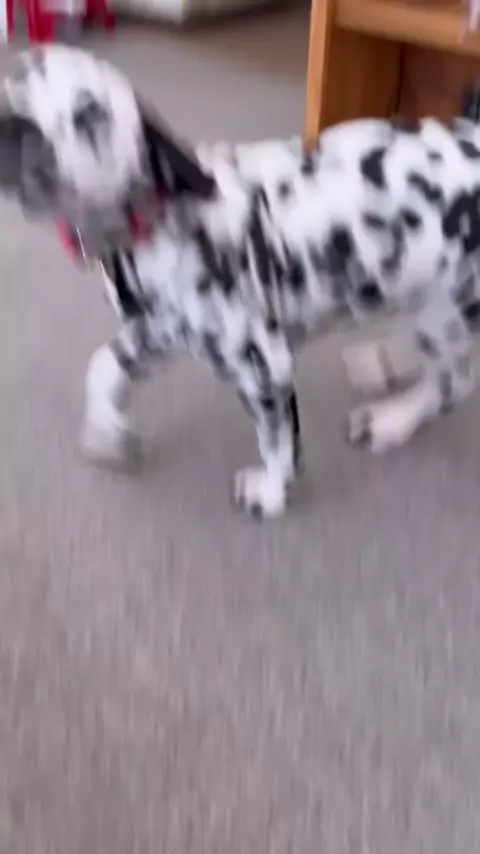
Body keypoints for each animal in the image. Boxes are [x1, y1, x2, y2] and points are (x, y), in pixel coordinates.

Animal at [2, 46, 480, 519]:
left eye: (90, 114)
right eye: (13, 80)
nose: (14, 125)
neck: (153, 218)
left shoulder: (263, 366)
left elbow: (278, 443)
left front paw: (270, 493)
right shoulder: (157, 332)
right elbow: (102, 366)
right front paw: (107, 432)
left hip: (446, 309)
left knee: (452, 383)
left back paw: (391, 420)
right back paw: (381, 365)